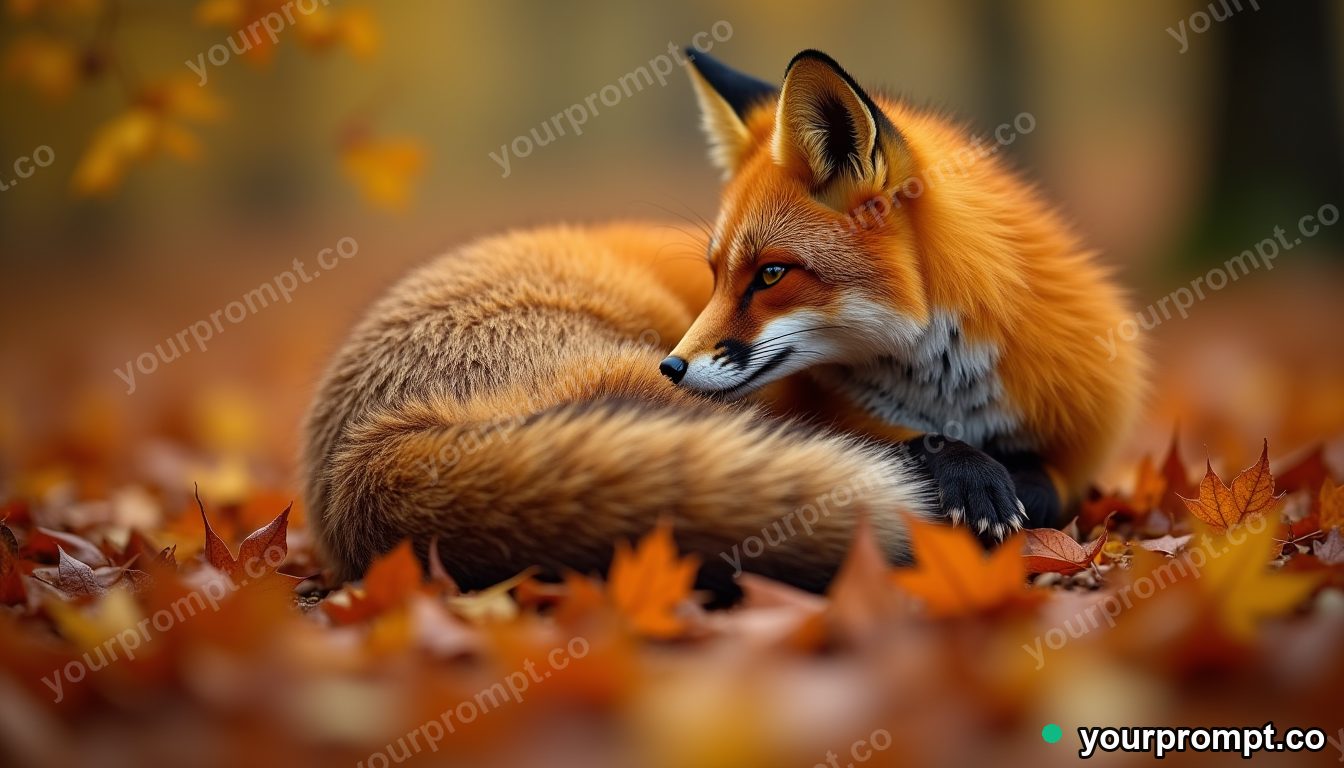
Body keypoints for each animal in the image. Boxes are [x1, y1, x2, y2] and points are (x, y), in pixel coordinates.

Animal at [659, 50, 1146, 538]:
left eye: (771, 274)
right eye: (716, 274)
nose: (670, 367)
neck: (949, 384)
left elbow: (1047, 483)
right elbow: (900, 443)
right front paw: (973, 474)